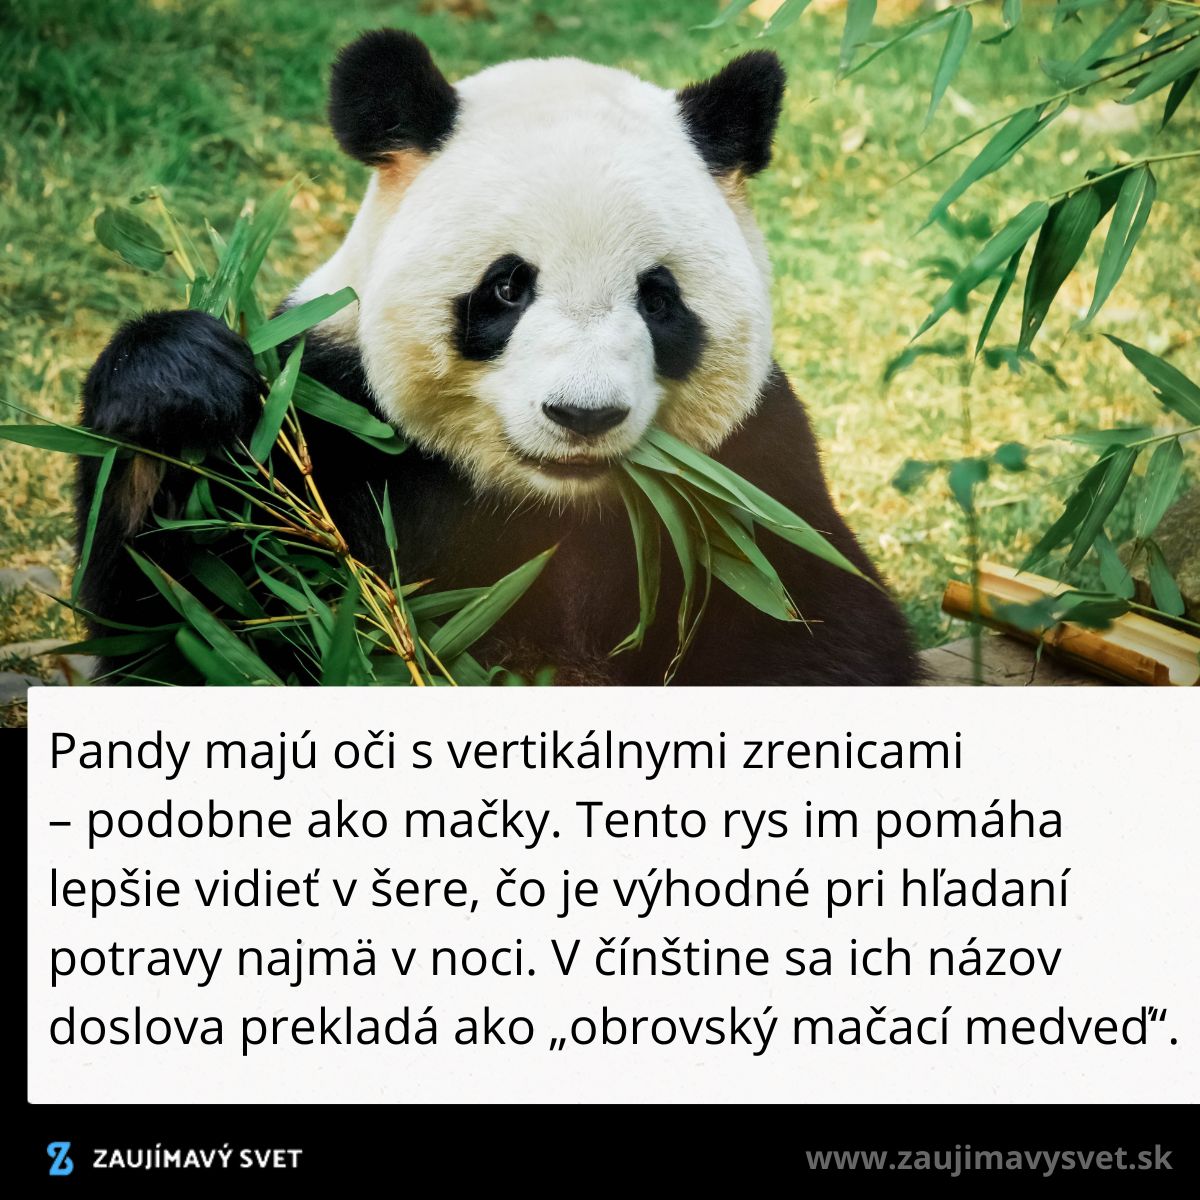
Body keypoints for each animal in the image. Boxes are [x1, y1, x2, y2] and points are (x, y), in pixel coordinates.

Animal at [77, 30, 920, 686]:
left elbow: (818, 621)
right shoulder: (330, 415)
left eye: (657, 299)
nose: (583, 415)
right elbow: (196, 616)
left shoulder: (749, 466)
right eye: (508, 288)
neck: (546, 502)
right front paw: (178, 389)